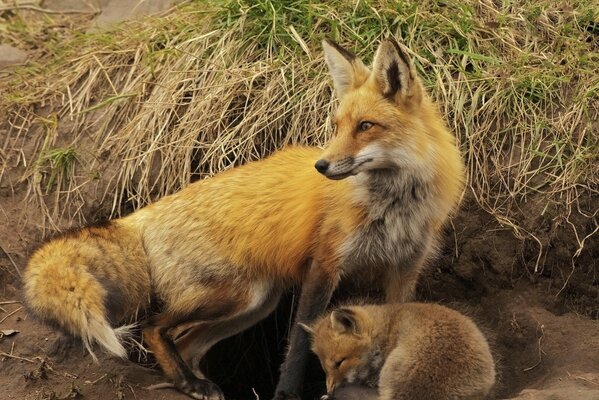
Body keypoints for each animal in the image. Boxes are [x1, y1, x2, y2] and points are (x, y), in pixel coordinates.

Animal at [22, 38, 464, 400]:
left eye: (366, 126)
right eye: (337, 126)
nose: (321, 166)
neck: (392, 207)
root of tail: (141, 214)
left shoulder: (404, 270)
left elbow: (393, 327)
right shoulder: (325, 265)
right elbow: (299, 343)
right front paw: (286, 395)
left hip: (254, 304)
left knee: (185, 342)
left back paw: (191, 382)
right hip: (237, 294)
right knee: (153, 327)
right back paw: (189, 383)